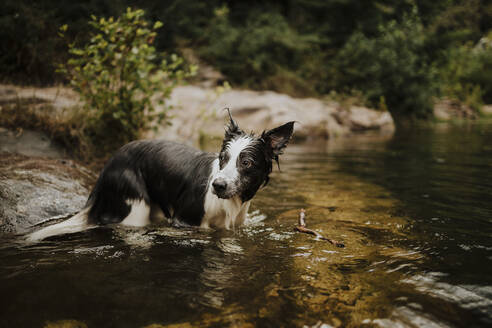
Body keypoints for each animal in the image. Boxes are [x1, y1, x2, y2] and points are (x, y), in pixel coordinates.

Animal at [26, 111, 294, 242]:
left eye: (246, 163)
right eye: (223, 158)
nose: (217, 185)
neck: (227, 203)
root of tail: (108, 165)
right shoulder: (185, 221)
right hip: (136, 206)